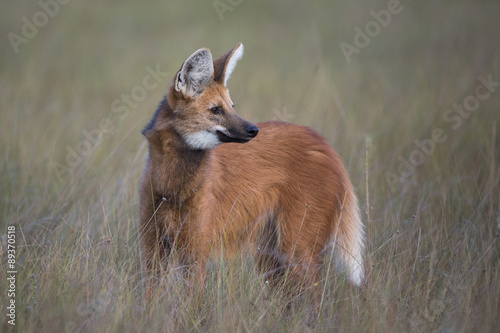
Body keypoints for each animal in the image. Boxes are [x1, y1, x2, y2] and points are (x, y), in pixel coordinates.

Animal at [139, 42, 366, 294]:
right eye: (216, 110)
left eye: (232, 106)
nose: (253, 130)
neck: (173, 186)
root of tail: (327, 147)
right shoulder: (153, 244)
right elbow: (150, 293)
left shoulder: (196, 247)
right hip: (270, 252)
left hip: (296, 247)